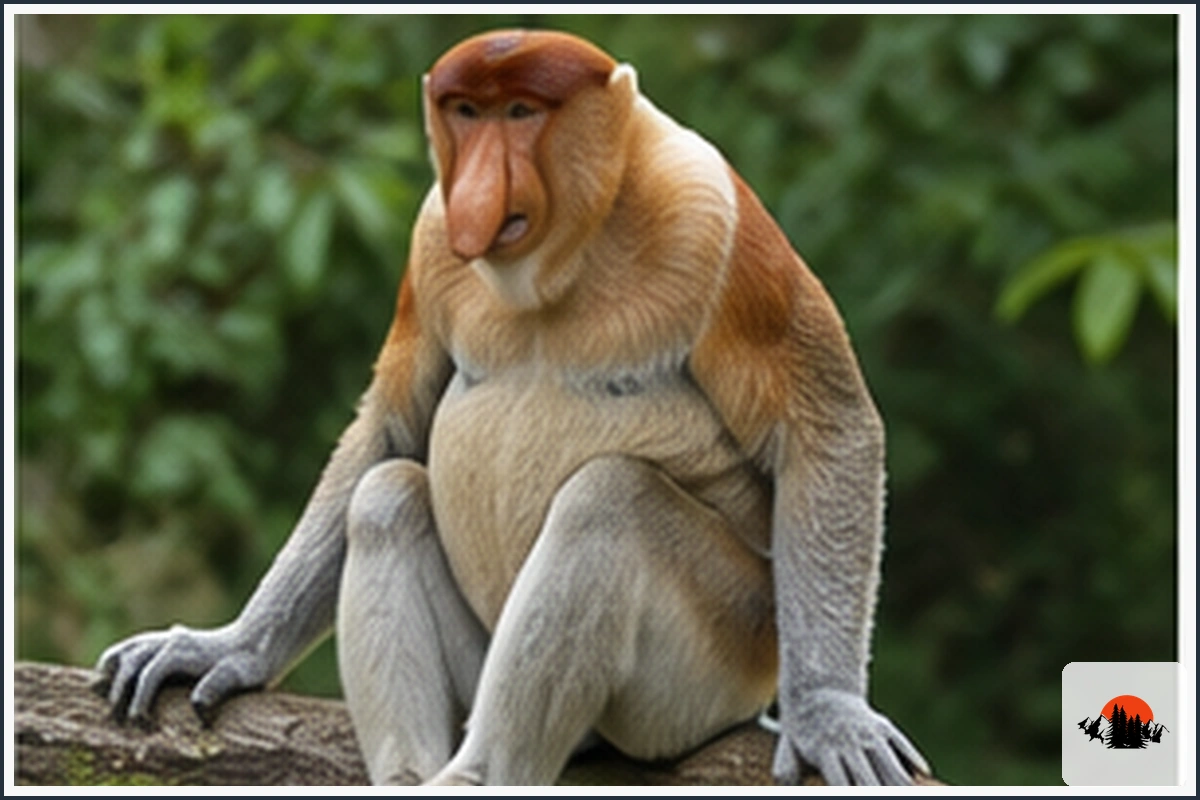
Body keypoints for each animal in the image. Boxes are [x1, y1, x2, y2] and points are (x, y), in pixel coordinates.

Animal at [94, 29, 929, 786]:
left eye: (523, 112)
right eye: (467, 112)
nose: (479, 188)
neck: (566, 256)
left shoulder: (717, 222)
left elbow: (826, 430)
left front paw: (828, 714)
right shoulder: (432, 234)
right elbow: (391, 427)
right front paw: (228, 646)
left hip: (719, 660)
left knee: (609, 500)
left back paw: (478, 772)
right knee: (387, 497)